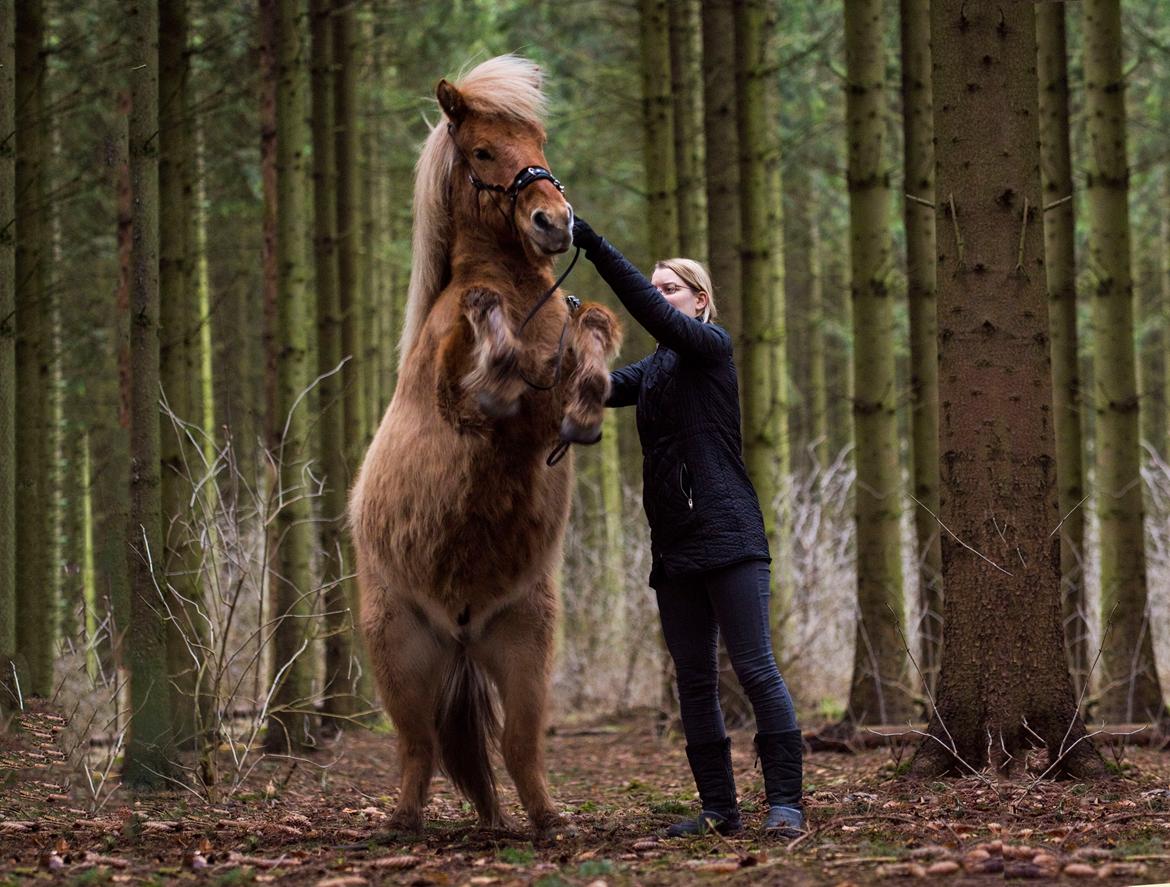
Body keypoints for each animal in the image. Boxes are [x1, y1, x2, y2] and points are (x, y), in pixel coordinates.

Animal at [346, 57, 622, 842]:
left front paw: (585, 409)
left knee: (519, 743)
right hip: (400, 652)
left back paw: (547, 820)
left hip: (526, 642)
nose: (554, 222)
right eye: (481, 151)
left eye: (538, 141)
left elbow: (596, 320)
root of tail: (462, 629)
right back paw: (402, 821)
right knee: (417, 747)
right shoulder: (452, 395)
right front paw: (494, 347)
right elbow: (481, 357)